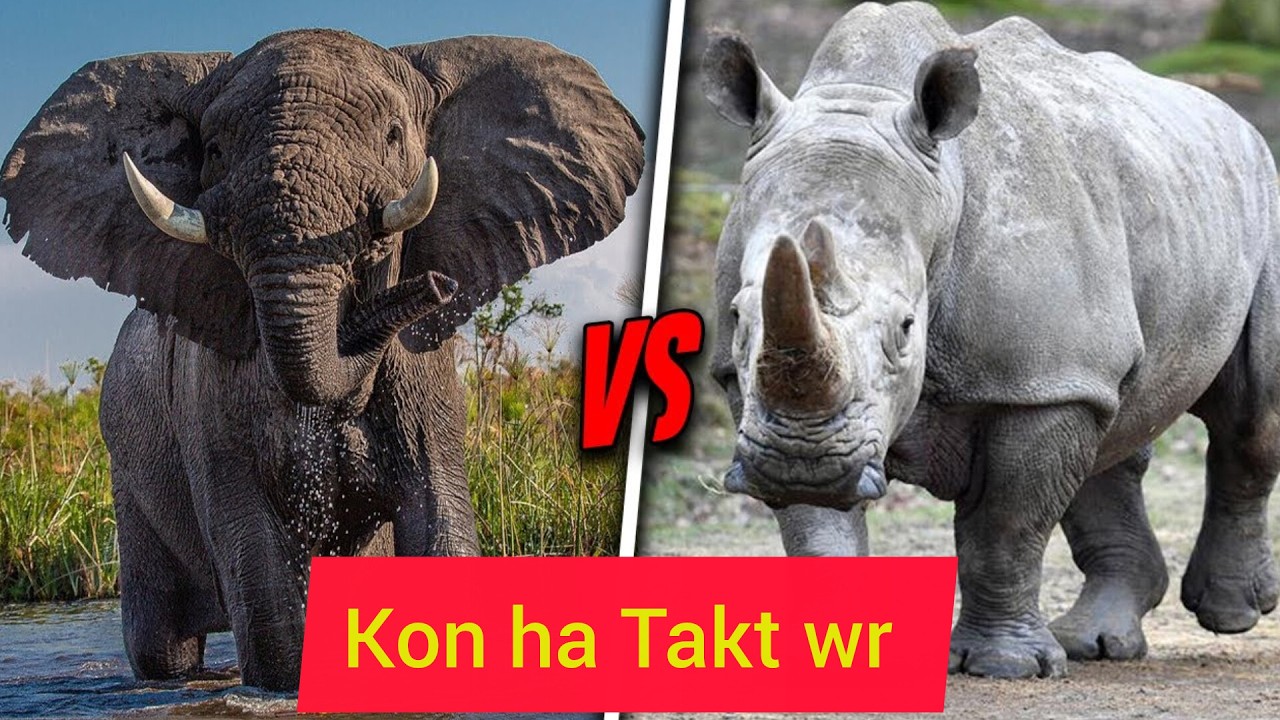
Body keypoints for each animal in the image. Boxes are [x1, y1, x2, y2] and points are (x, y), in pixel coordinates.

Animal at [1, 29, 644, 690]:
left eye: (394, 135)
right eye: (213, 149)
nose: (436, 286)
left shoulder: (426, 382)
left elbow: (440, 524)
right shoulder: (208, 398)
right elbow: (258, 572)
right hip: (128, 466)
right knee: (162, 644)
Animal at [703, 2, 1280, 679]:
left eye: (906, 329)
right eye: (739, 316)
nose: (800, 461)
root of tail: (1234, 119)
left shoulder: (1034, 378)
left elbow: (1006, 525)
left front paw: (1005, 666)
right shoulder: (767, 400)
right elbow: (815, 527)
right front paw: (833, 652)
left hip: (1259, 196)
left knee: (1247, 415)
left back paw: (1228, 615)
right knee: (1113, 418)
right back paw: (1097, 642)